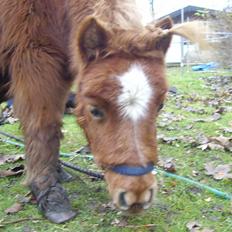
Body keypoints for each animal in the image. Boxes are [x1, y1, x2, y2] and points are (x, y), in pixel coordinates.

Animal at [0, 0, 207, 225]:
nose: (137, 196)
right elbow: (44, 127)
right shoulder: (37, 63)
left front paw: (59, 172)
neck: (54, 12)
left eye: (160, 105)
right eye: (95, 110)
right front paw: (49, 193)